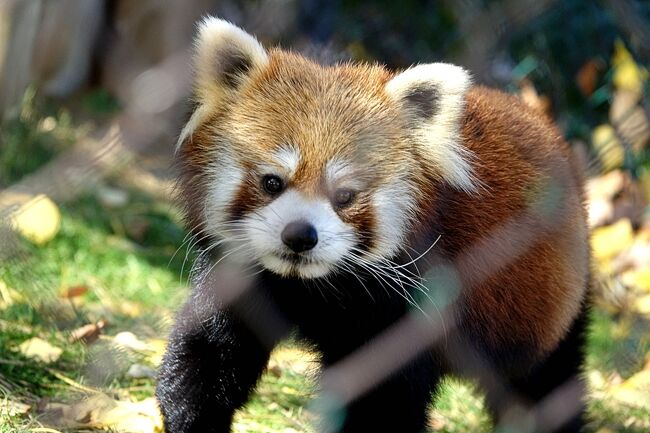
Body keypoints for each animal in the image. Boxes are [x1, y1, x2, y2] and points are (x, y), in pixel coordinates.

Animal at [156, 16, 588, 432]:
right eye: (272, 182)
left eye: (345, 195)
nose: (300, 236)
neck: (309, 287)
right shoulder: (242, 278)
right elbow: (207, 357)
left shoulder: (409, 310)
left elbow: (383, 405)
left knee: (545, 386)